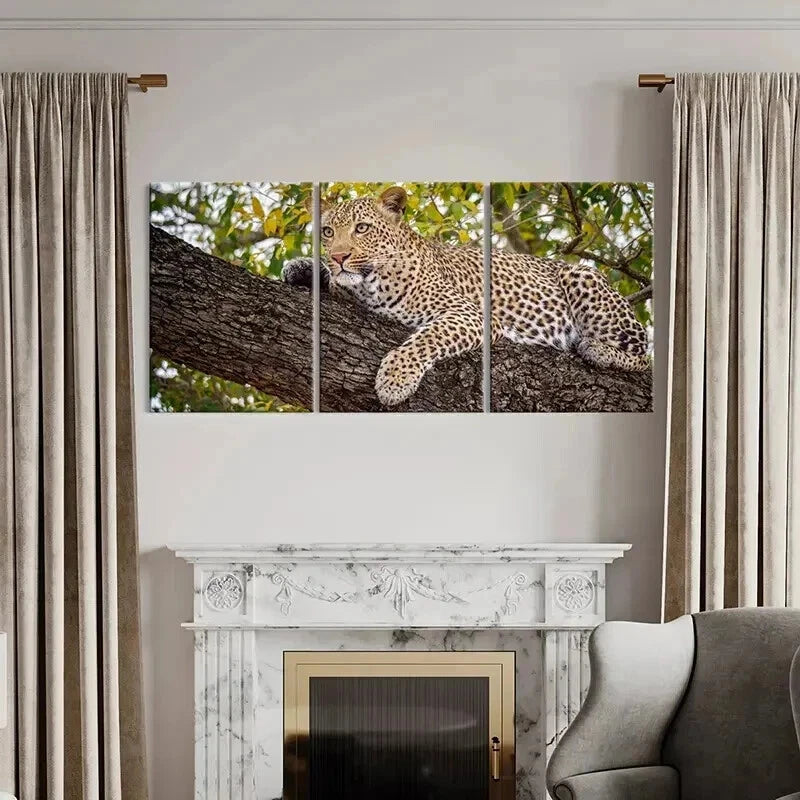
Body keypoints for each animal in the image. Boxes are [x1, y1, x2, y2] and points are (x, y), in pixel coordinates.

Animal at [282, 186, 650, 407]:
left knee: (644, 357)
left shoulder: (469, 313)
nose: (338, 256)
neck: (370, 283)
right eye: (328, 232)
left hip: (582, 277)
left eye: (362, 228)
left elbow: (427, 338)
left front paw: (395, 379)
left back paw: (595, 349)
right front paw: (302, 267)